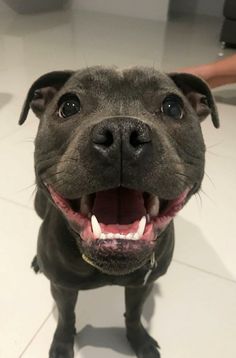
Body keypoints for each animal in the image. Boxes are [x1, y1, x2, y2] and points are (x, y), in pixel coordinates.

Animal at [19, 65, 218, 356]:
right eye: (68, 106)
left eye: (172, 107)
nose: (121, 132)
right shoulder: (62, 286)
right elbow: (66, 316)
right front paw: (63, 343)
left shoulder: (142, 285)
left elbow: (134, 313)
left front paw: (140, 340)